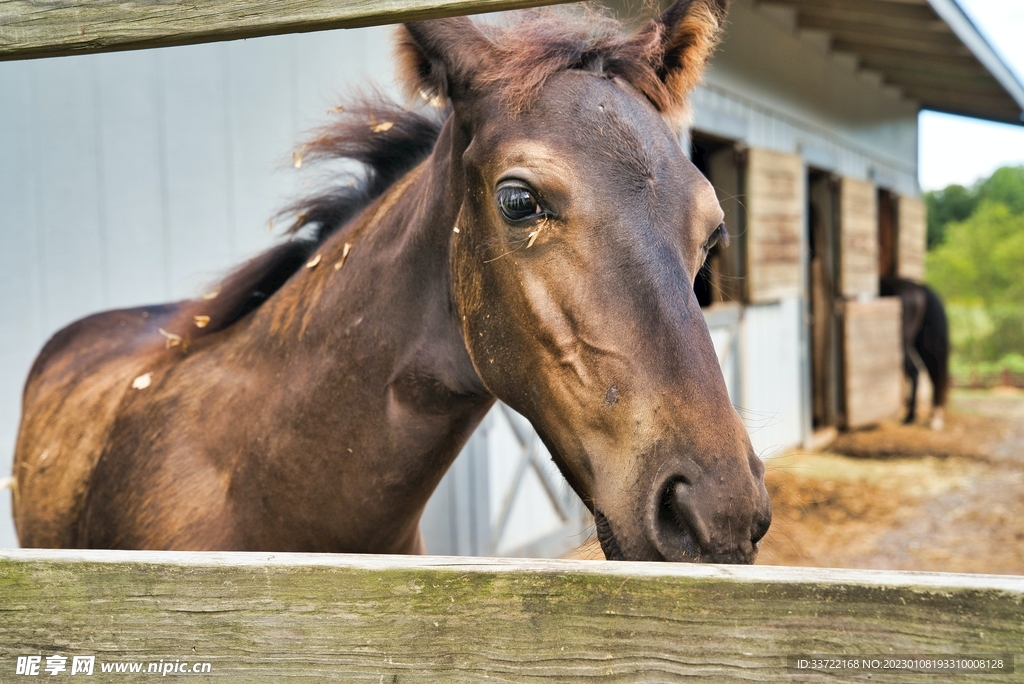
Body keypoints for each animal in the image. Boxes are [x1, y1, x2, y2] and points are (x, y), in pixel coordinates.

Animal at [880, 276, 950, 430]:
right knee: (932, 373)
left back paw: (910, 417)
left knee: (915, 371)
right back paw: (934, 417)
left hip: (902, 343)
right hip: (921, 343)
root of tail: (920, 288)